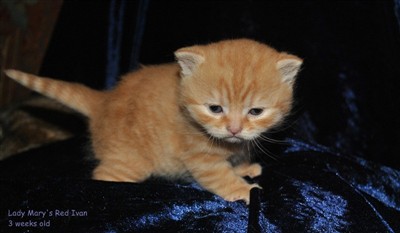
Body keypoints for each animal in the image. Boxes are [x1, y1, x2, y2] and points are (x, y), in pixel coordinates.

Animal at [4, 39, 302, 203]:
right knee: (102, 175)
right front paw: (242, 189)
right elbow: (218, 176)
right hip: (129, 162)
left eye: (256, 112)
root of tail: (104, 101)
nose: (234, 129)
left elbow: (235, 158)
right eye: (215, 108)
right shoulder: (199, 157)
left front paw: (242, 167)